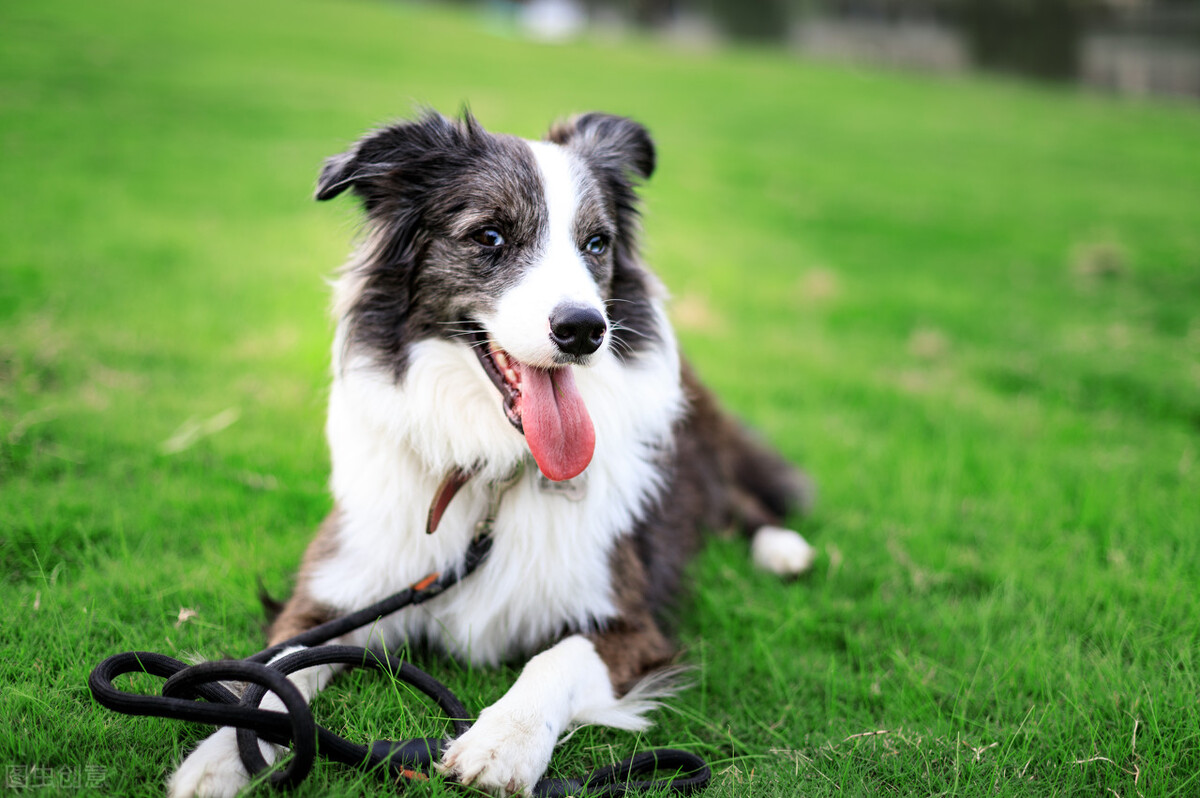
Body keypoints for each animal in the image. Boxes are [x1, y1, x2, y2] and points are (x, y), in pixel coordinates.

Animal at [169, 109, 816, 792]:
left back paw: (784, 549)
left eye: (597, 244)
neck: (492, 474)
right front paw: (223, 753)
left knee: (740, 497)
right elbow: (278, 669)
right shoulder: (344, 587)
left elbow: (557, 656)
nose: (585, 330)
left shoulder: (629, 620)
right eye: (490, 236)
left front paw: (505, 741)